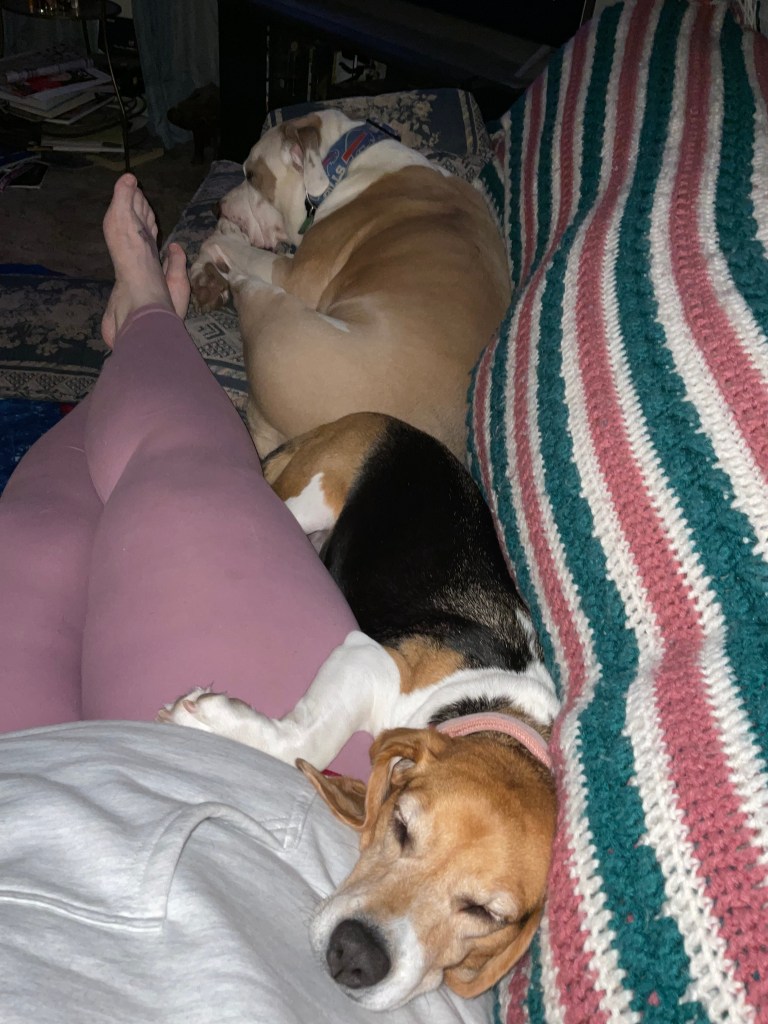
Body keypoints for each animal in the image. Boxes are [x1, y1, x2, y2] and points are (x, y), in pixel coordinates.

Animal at [159, 413, 560, 1011]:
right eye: (401, 826)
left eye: (487, 913)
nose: (355, 957)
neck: (502, 711)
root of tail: (379, 419)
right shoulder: (369, 659)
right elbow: (309, 741)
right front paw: (209, 717)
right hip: (307, 494)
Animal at [189, 109, 511, 461]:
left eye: (251, 175)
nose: (216, 207)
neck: (343, 163)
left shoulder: (294, 276)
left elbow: (227, 246)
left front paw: (216, 244)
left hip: (270, 302)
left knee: (238, 276)